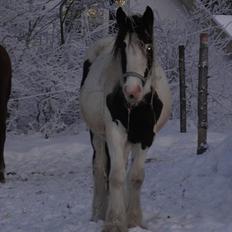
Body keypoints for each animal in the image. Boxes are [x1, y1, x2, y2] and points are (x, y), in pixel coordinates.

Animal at [80, 6, 171, 232]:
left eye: (148, 47)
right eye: (122, 48)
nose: (132, 91)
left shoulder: (146, 137)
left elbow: (135, 177)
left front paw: (134, 220)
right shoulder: (114, 132)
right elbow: (116, 176)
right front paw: (114, 221)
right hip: (98, 136)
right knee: (100, 169)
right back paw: (99, 213)